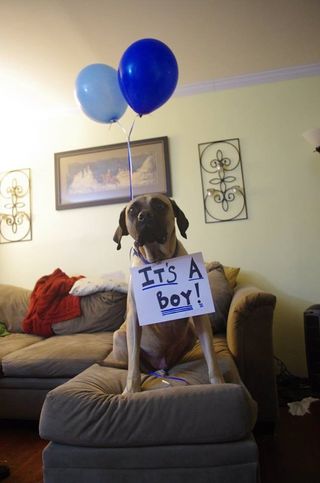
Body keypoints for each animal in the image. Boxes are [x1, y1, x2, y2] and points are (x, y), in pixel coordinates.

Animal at [113, 193, 225, 394]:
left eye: (159, 205)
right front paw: (131, 389)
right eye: (132, 210)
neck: (158, 261)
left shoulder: (199, 316)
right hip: (118, 336)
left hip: (190, 332)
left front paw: (218, 381)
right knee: (139, 365)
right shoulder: (134, 319)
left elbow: (210, 354)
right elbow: (133, 364)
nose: (144, 216)